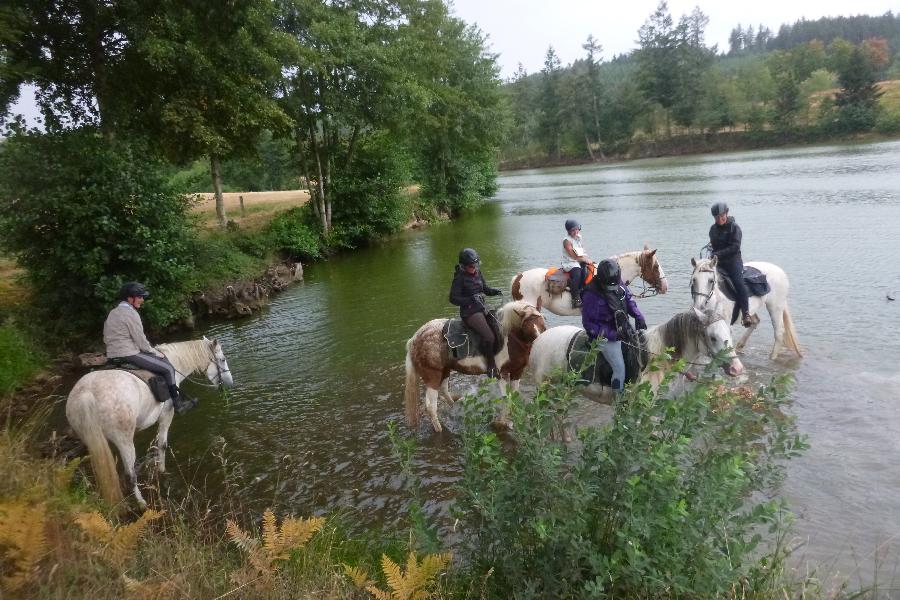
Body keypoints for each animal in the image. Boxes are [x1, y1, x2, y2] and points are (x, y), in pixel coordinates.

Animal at [67, 338, 236, 506]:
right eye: (223, 359)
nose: (230, 383)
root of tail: (87, 393)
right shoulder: (167, 414)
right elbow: (162, 445)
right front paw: (162, 470)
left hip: (94, 441)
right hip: (124, 441)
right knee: (130, 475)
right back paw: (142, 503)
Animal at [404, 302, 544, 434]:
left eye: (542, 323)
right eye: (526, 326)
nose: (540, 343)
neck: (509, 338)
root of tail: (415, 338)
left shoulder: (517, 371)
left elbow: (514, 395)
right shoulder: (502, 373)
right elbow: (506, 398)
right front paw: (502, 423)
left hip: (445, 370)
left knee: (444, 390)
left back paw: (455, 406)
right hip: (432, 375)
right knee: (431, 405)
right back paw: (439, 429)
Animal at [528, 308, 744, 400]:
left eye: (730, 332)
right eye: (713, 337)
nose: (737, 368)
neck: (658, 357)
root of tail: (539, 339)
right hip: (545, 387)